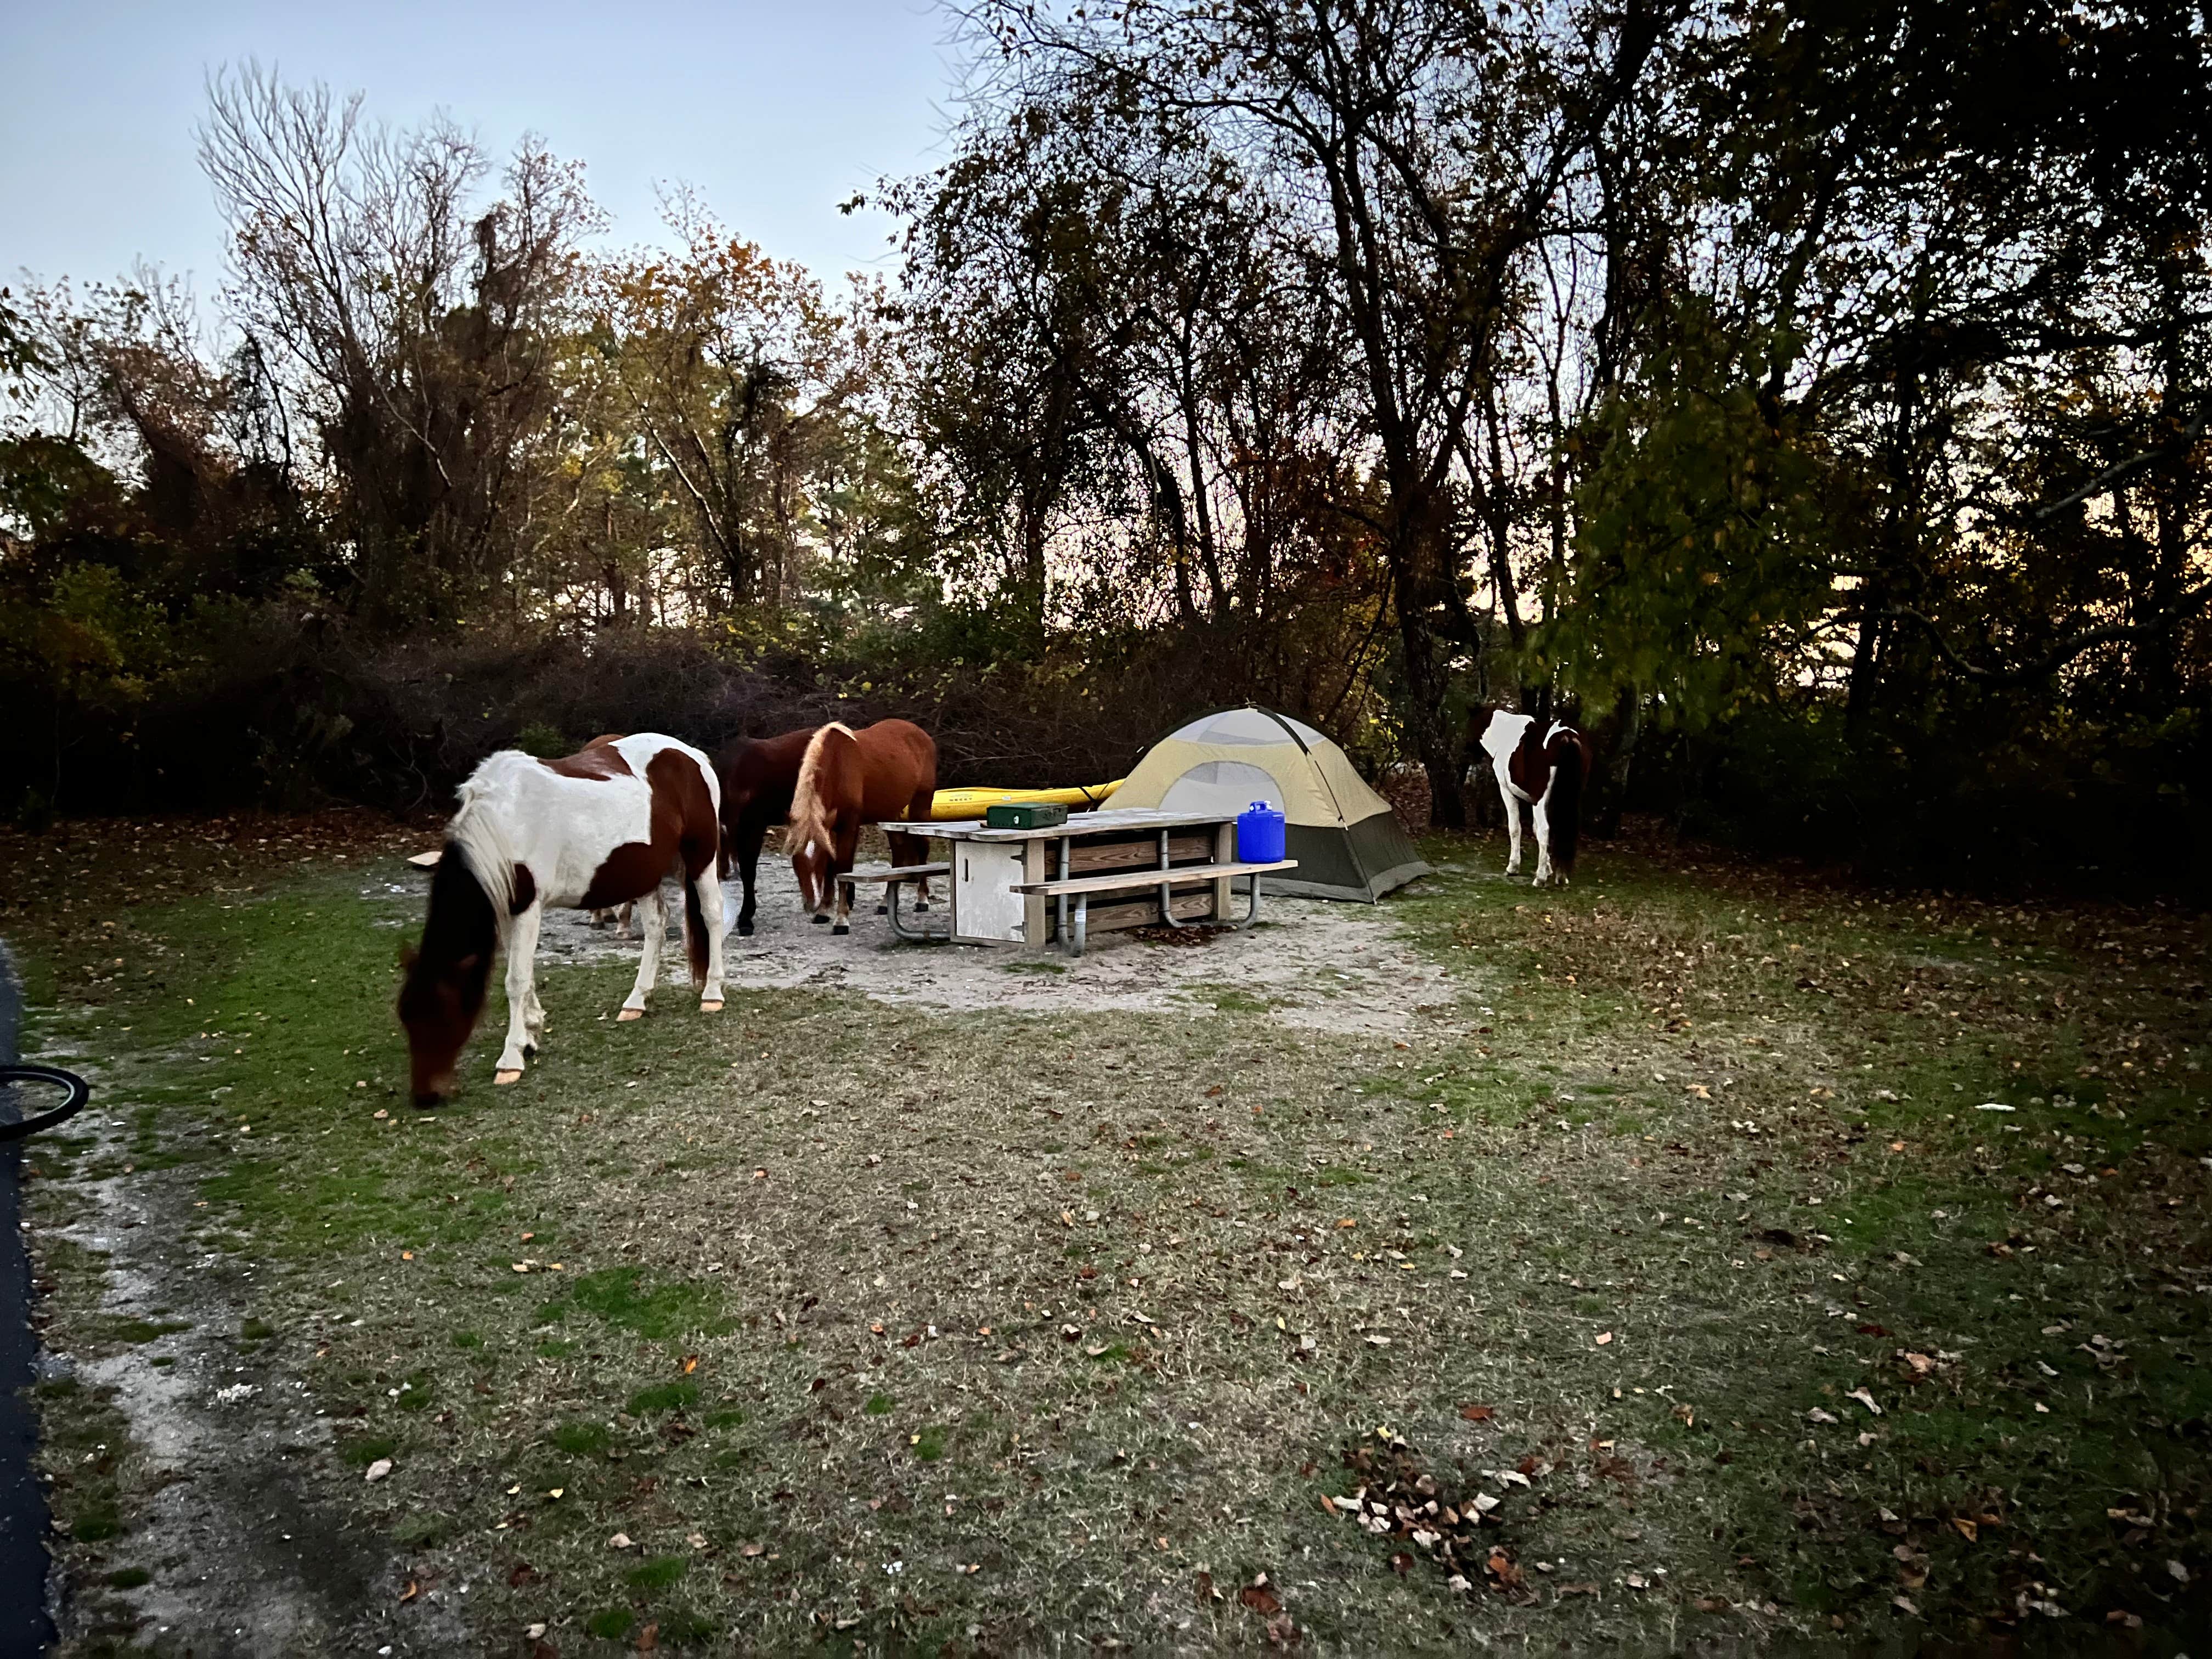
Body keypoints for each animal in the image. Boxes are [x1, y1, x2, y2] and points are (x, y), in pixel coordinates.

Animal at [398, 732, 726, 1107]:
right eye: (406, 1016)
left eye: (442, 1014)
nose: (425, 1096)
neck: (505, 819)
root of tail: (690, 754)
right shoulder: (510, 911)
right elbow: (523, 974)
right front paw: (531, 1033)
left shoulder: (528, 907)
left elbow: (515, 980)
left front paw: (511, 1059)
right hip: (644, 872)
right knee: (656, 926)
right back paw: (636, 1001)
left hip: (701, 855)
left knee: (712, 913)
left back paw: (713, 993)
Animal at [787, 719, 939, 934]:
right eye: (795, 860)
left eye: (818, 860)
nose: (811, 904)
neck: (838, 764)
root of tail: (923, 735)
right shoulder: (831, 829)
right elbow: (833, 866)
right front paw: (824, 911)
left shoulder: (849, 825)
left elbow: (843, 867)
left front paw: (841, 919)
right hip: (890, 813)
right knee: (899, 851)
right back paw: (885, 903)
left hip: (921, 807)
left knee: (923, 847)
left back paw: (922, 899)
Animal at [1468, 707, 1593, 887]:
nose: (1470, 754)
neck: (1505, 735)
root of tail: (1567, 738)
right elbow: (1535, 829)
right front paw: (1548, 868)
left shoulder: (1508, 792)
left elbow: (1516, 828)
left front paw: (1514, 867)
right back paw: (1561, 877)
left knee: (1545, 829)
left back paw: (1539, 879)